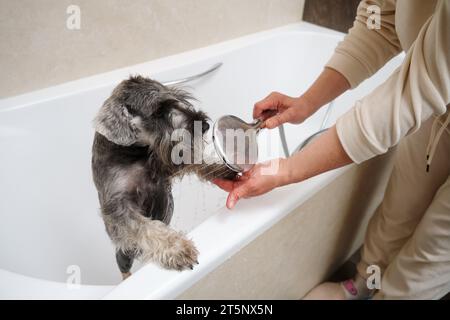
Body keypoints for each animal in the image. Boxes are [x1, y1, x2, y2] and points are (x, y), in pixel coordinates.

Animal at [90, 75, 234, 280]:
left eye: (177, 98)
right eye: (158, 112)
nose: (204, 125)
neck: (134, 153)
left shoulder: (165, 165)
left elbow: (199, 163)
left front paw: (225, 169)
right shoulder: (120, 207)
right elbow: (147, 228)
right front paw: (178, 249)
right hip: (124, 250)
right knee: (123, 264)